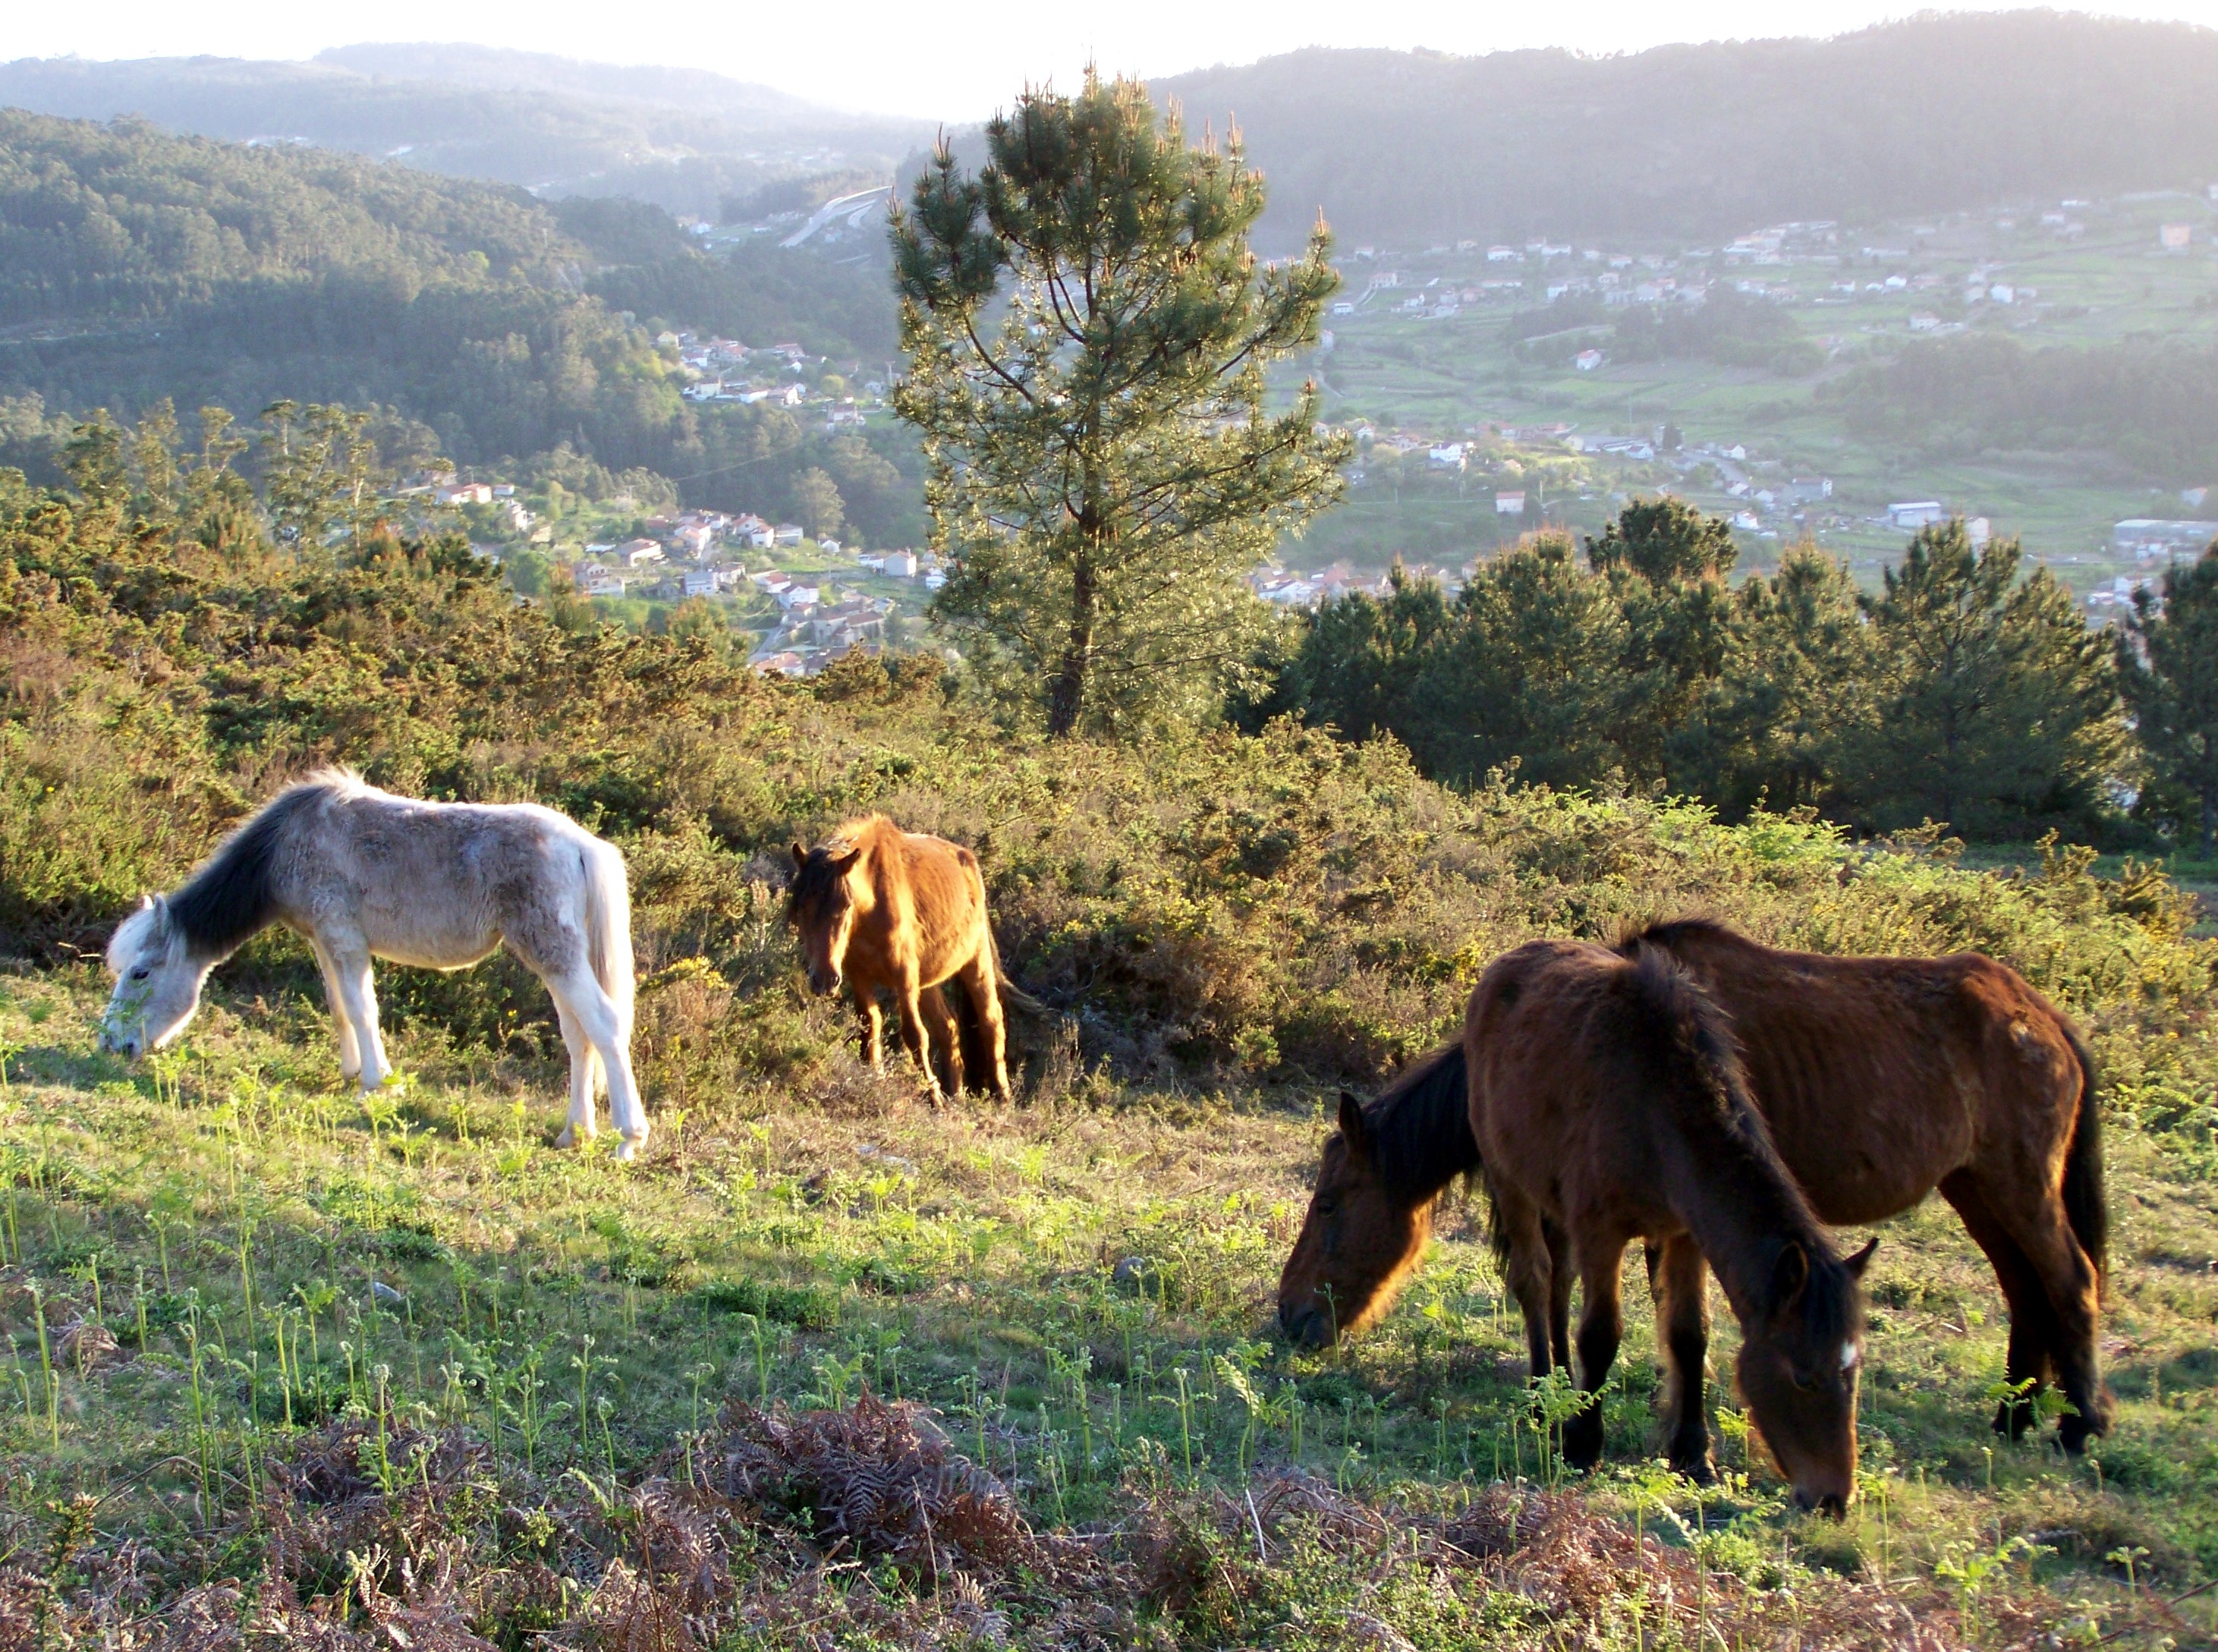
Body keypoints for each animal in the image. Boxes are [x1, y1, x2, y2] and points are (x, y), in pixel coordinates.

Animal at [99, 769, 650, 1158]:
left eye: (140, 972)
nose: (111, 1044)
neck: (287, 845)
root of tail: (580, 844)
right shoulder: (323, 939)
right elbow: (340, 1007)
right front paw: (352, 1072)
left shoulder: (344, 937)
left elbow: (364, 1009)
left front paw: (376, 1083)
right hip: (558, 959)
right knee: (579, 1037)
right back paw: (575, 1132)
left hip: (552, 953)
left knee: (605, 1025)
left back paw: (628, 1138)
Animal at [787, 816, 1029, 1104]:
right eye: (802, 906)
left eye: (846, 905)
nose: (824, 980)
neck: (871, 908)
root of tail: (968, 860)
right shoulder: (859, 975)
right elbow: (870, 1026)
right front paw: (876, 1080)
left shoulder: (904, 977)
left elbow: (915, 1035)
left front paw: (934, 1099)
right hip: (928, 982)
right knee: (948, 1027)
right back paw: (956, 1095)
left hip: (975, 961)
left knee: (991, 1020)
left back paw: (1002, 1095)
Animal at [1280, 940, 1875, 1513]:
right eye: (1804, 1376)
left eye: (1852, 1374)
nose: (1833, 1498)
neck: (1658, 1106)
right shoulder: (1600, 1230)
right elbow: (1600, 1335)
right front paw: (1584, 1441)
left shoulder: (1684, 1236)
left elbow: (1689, 1334)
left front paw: (1692, 1452)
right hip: (1513, 1181)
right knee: (1535, 1281)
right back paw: (1546, 1398)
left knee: (1557, 1289)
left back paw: (1562, 1390)